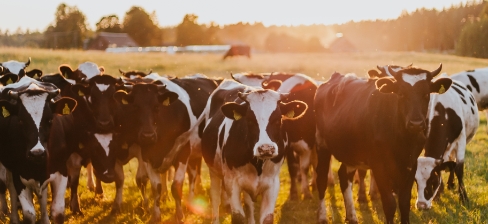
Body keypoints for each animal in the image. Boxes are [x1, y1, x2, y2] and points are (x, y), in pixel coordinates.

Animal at [0, 76, 76, 223]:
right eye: (21, 121)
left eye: (50, 120)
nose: (37, 154)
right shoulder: (19, 174)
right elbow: (29, 214)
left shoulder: (61, 171)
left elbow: (58, 211)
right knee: (11, 189)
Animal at [114, 73, 217, 222]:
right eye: (136, 107)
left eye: (157, 107)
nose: (148, 135)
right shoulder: (147, 156)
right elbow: (156, 187)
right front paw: (156, 215)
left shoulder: (183, 153)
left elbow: (176, 186)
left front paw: (179, 215)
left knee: (193, 176)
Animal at [200, 79, 306, 224]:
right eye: (250, 120)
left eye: (278, 119)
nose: (266, 148)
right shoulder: (231, 182)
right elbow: (238, 217)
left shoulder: (272, 183)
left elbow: (266, 218)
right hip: (214, 171)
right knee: (215, 198)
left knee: (249, 204)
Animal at [230, 72, 322, 200]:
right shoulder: (288, 146)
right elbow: (293, 168)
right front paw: (294, 193)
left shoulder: (308, 142)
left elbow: (305, 167)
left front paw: (307, 192)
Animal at [314, 64, 452, 223]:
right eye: (401, 94)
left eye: (426, 94)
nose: (416, 123)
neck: (402, 141)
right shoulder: (378, 165)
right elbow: (389, 203)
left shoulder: (411, 164)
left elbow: (404, 202)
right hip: (321, 145)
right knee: (321, 179)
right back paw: (322, 216)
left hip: (352, 153)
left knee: (344, 176)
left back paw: (351, 216)